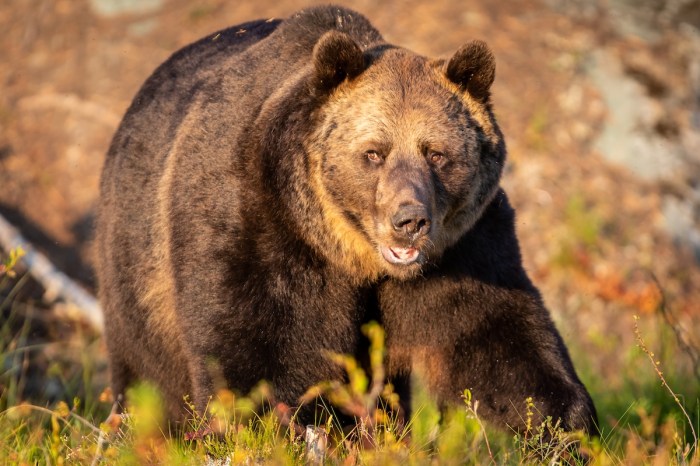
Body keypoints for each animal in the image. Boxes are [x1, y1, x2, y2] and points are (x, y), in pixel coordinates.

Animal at [96, 4, 597, 435]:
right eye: (374, 152)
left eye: (436, 153)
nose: (409, 221)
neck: (354, 256)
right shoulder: (254, 227)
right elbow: (256, 354)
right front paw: (275, 428)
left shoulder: (463, 248)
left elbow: (494, 338)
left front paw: (565, 424)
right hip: (135, 280)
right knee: (148, 374)